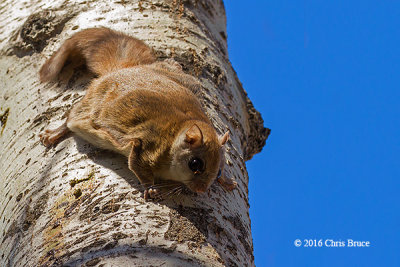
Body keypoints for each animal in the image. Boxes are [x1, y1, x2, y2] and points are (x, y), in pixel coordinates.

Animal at [39, 27, 236, 200]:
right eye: (195, 164)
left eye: (219, 170)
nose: (202, 190)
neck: (176, 132)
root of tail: (120, 70)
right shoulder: (146, 146)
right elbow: (137, 166)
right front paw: (151, 189)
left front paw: (227, 181)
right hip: (89, 106)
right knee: (71, 117)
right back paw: (54, 134)